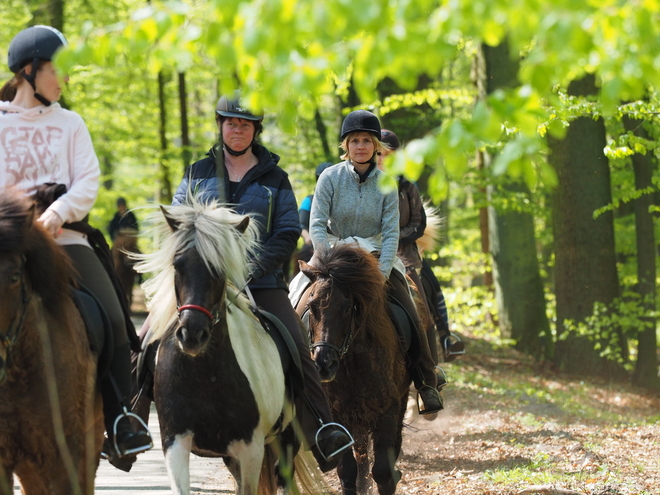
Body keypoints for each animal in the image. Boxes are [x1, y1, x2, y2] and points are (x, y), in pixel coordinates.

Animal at [133, 202, 318, 495]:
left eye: (219, 269)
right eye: (177, 265)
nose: (192, 334)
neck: (204, 375)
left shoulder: (251, 449)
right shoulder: (175, 443)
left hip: (287, 438)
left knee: (284, 476)